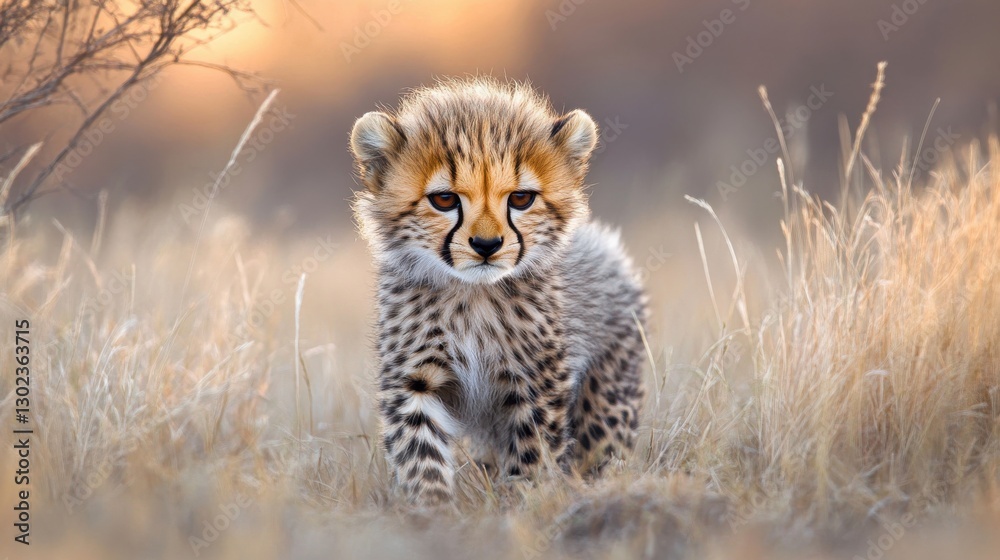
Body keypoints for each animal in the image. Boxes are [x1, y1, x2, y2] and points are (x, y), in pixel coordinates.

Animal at [350, 77, 648, 506]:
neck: (473, 296)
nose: (486, 245)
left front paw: (524, 502)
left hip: (607, 397)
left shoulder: (535, 383)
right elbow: (420, 453)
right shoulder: (414, 379)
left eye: (521, 198)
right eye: (444, 199)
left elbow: (533, 452)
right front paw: (430, 509)